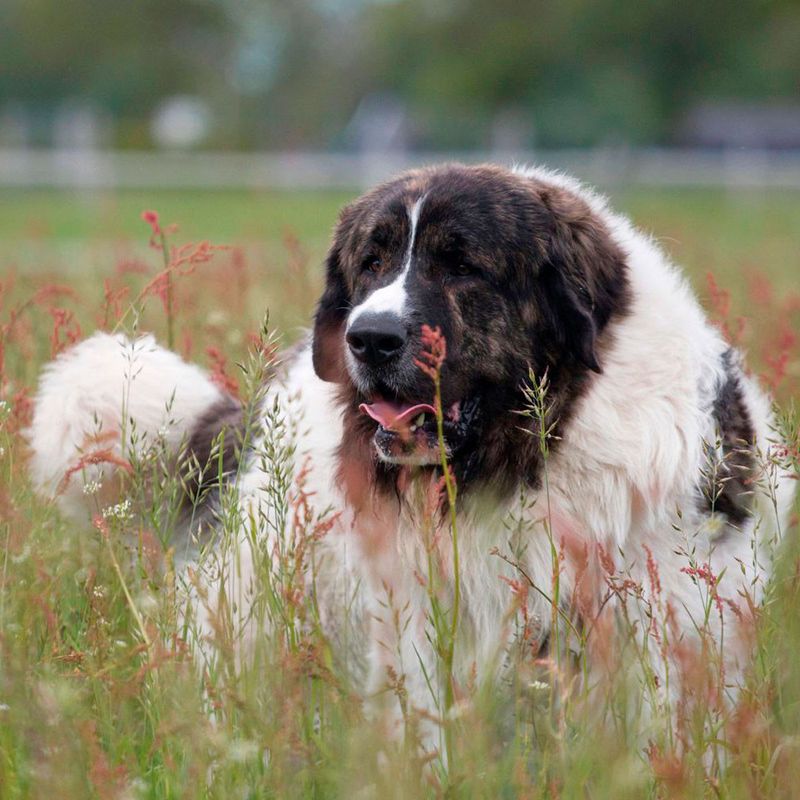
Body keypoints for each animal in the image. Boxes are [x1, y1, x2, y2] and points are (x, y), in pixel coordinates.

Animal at [29, 162, 792, 752]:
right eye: (371, 263)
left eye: (462, 266)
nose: (369, 338)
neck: (524, 460)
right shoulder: (419, 624)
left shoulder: (662, 622)